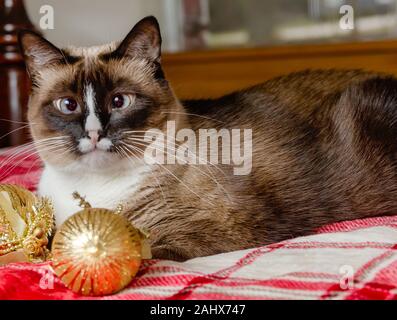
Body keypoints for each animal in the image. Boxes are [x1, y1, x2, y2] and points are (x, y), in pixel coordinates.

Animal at [18, 15, 397, 260]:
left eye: (119, 101)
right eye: (68, 105)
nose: (95, 132)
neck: (91, 189)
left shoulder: (218, 230)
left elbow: (139, 248)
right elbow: (44, 241)